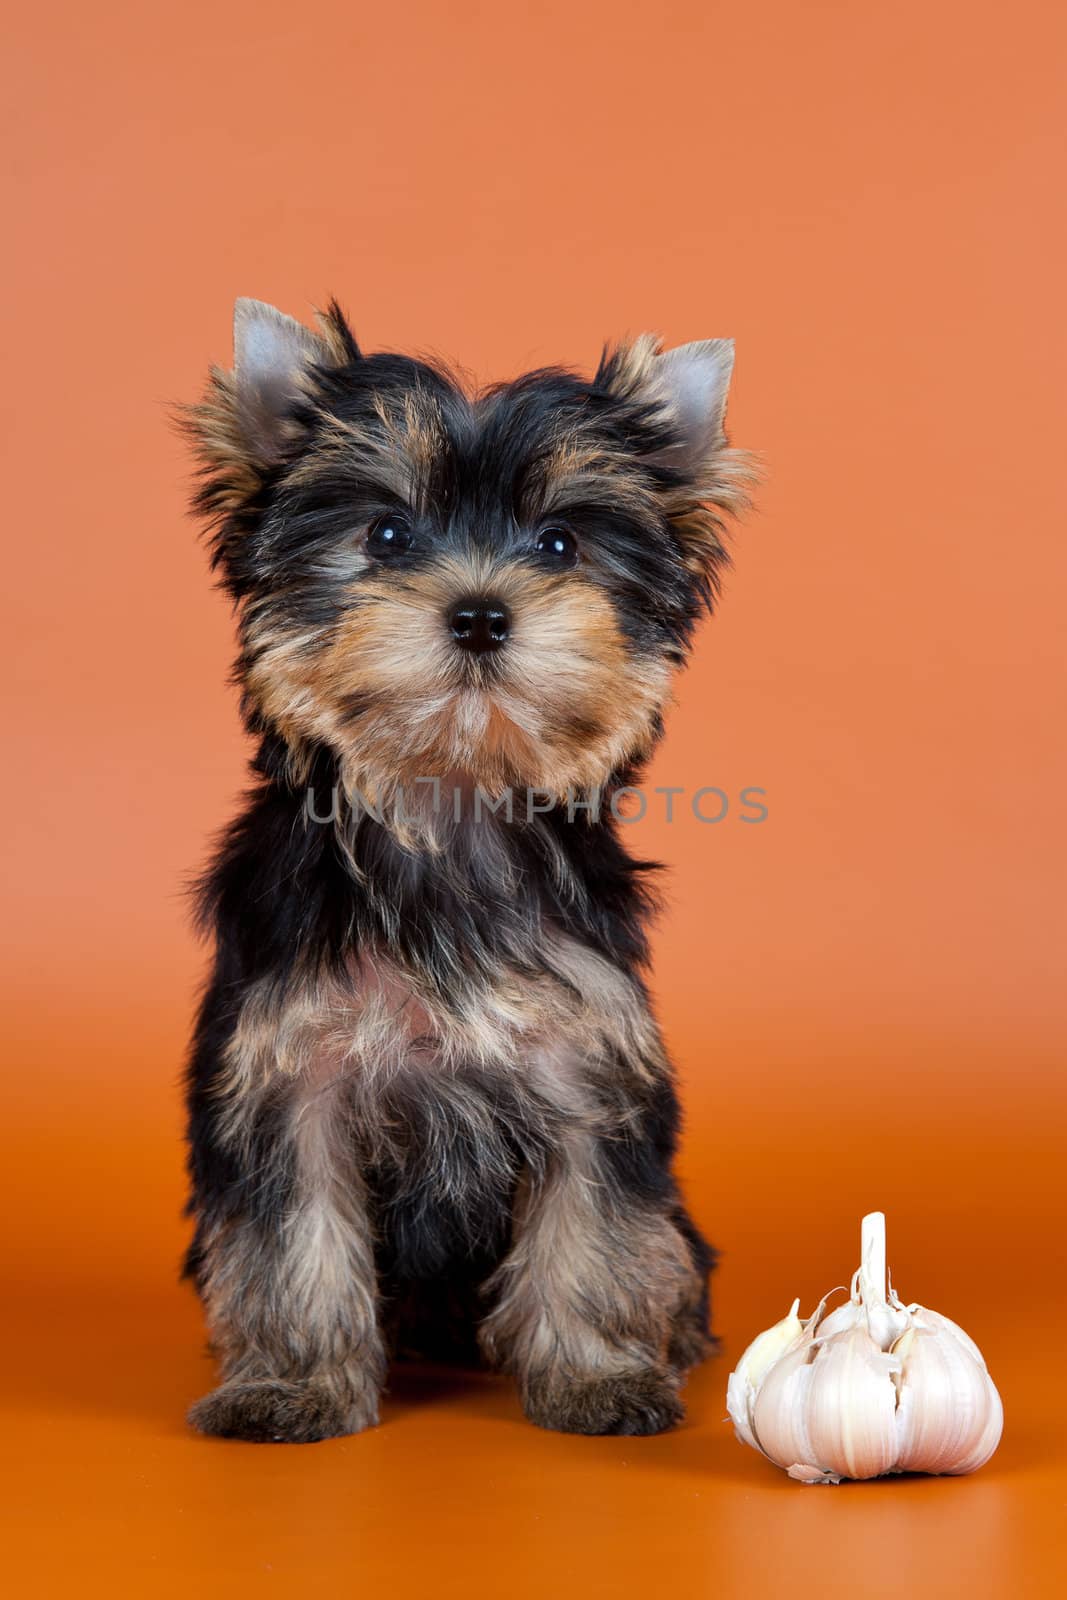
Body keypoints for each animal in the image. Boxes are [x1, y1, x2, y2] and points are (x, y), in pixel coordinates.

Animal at [179, 297, 751, 1440]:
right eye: (386, 535)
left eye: (560, 542)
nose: (482, 612)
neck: (447, 811)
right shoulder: (290, 1072)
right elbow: (291, 1235)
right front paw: (290, 1385)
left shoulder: (583, 1063)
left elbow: (593, 1224)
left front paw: (595, 1377)